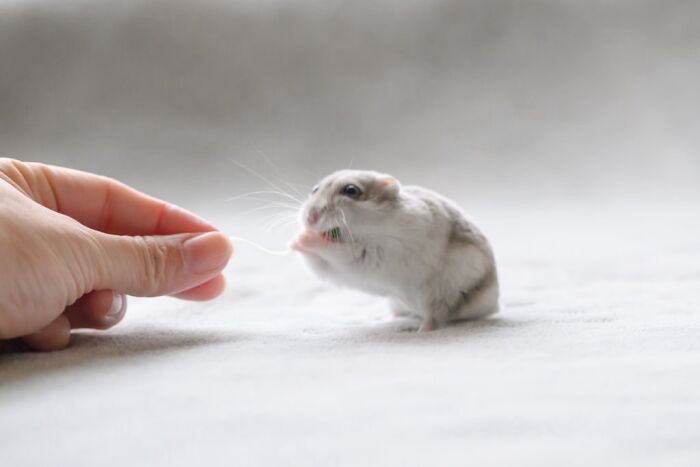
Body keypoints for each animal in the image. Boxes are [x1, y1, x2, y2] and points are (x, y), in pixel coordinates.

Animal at [291, 170, 500, 332]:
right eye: (314, 190)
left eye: (351, 190)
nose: (310, 218)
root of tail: (492, 304)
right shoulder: (333, 269)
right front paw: (294, 242)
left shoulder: (378, 251)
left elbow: (342, 252)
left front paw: (305, 238)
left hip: (445, 294)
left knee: (438, 316)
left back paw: (422, 330)